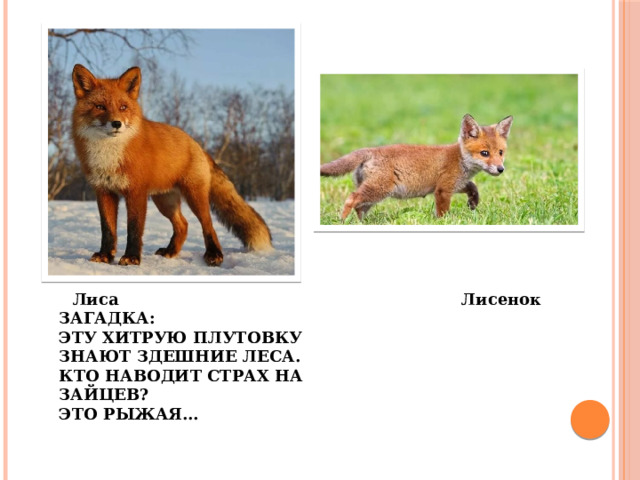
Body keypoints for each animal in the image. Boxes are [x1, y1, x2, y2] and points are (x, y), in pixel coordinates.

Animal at [71, 64, 272, 267]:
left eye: (123, 107)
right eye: (99, 107)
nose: (117, 123)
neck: (108, 154)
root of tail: (196, 144)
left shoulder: (136, 192)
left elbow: (134, 229)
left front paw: (132, 257)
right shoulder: (104, 191)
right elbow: (107, 229)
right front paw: (105, 255)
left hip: (194, 197)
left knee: (208, 224)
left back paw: (214, 254)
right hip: (165, 202)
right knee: (183, 224)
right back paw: (170, 251)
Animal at [320, 114, 513, 221]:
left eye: (500, 152)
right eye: (485, 153)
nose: (500, 169)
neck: (460, 160)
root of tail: (370, 150)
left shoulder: (455, 184)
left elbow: (473, 187)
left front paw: (473, 203)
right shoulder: (443, 189)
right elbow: (442, 212)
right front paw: (443, 222)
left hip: (373, 195)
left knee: (359, 208)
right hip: (378, 190)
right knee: (351, 199)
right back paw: (342, 221)